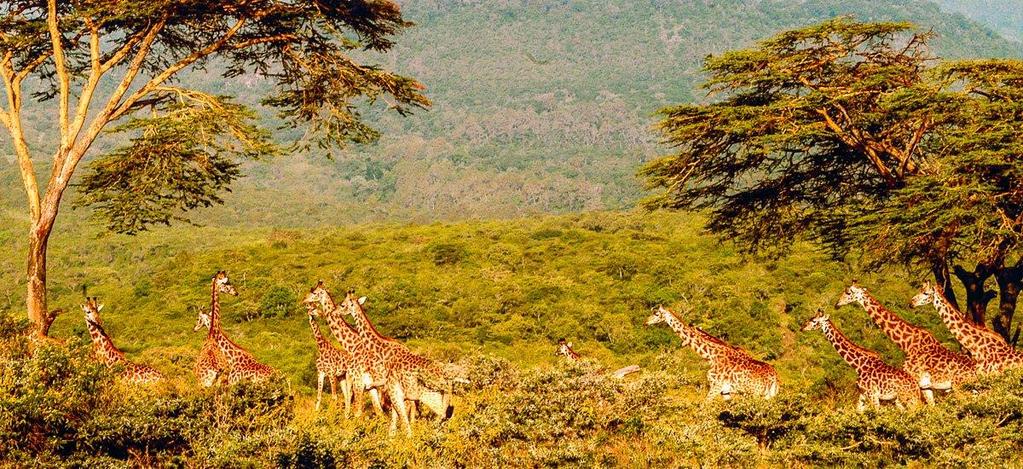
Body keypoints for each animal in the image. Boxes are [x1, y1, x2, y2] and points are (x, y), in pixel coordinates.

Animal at [642, 305, 777, 401]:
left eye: (656, 314)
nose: (645, 322)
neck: (711, 356)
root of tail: (774, 378)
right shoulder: (726, 392)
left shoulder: (716, 387)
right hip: (769, 395)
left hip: (755, 394)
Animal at [838, 282, 973, 403]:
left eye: (848, 292)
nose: (837, 304)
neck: (907, 343)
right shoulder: (926, 385)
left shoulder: (915, 380)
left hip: (960, 387)